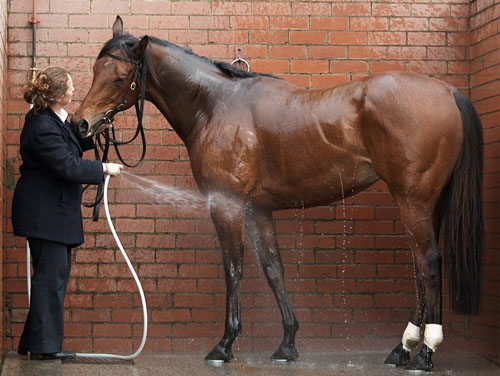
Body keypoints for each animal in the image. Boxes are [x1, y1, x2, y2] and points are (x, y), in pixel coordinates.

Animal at [72, 16, 482, 372]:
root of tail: (448, 91)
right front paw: (287, 344)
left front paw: (225, 344)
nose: (82, 125)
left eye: (120, 76)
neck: (215, 103)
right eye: (94, 71)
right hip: (428, 203)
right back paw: (402, 349)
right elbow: (273, 269)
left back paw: (425, 353)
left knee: (428, 265)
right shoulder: (258, 209)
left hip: (413, 200)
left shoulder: (227, 204)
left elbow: (234, 269)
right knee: (419, 268)